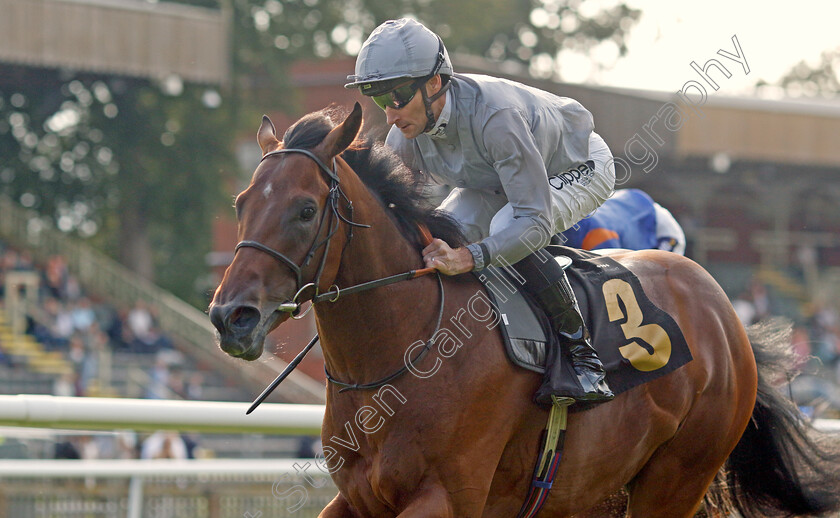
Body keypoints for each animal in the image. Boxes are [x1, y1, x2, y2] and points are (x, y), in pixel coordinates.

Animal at [208, 103, 840, 516]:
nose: (230, 316)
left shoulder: (446, 496)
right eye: (241, 202)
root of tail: (726, 316)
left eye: (306, 209)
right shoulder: (358, 498)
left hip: (676, 478)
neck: (399, 352)